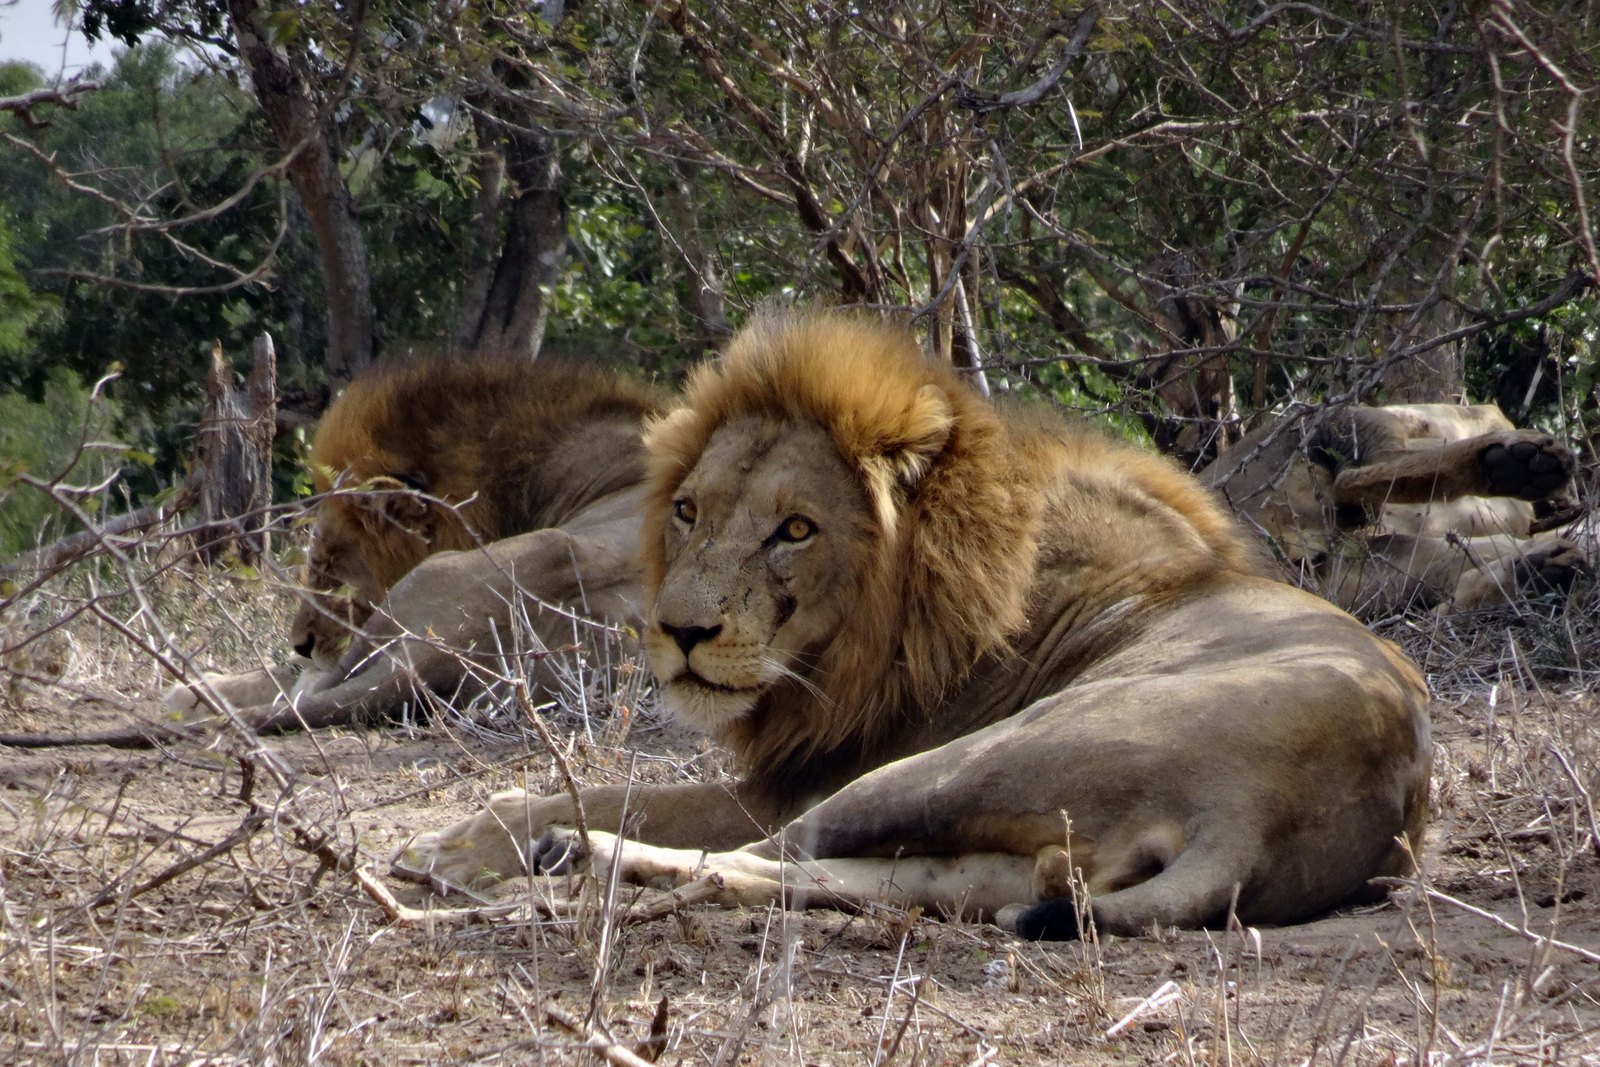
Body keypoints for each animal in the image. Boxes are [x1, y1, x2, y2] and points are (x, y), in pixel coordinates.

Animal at [3, 358, 664, 749]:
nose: (299, 638)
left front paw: (190, 690)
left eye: (325, 567)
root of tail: (427, 666)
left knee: (303, 690)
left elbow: (286, 675)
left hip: (417, 597)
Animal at [394, 312, 1432, 941]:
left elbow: (612, 793)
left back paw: (580, 858)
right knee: (870, 880)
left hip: (965, 759)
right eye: (687, 511)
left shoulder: (797, 776)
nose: (677, 631)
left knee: (770, 850)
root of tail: (1259, 814)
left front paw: (457, 844)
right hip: (1006, 855)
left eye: (794, 530)